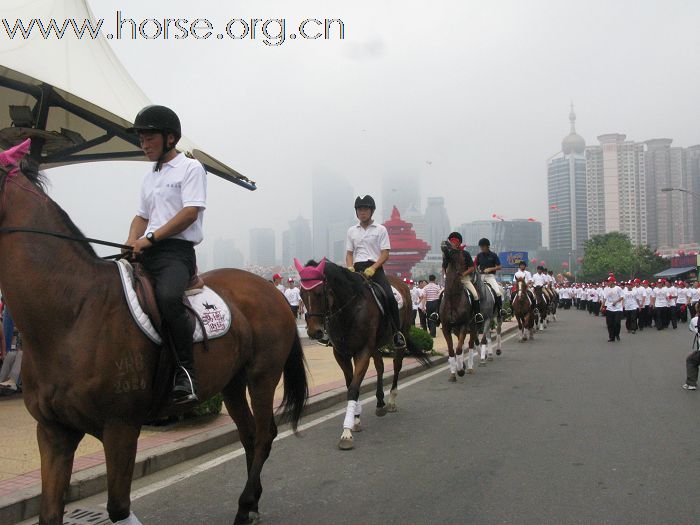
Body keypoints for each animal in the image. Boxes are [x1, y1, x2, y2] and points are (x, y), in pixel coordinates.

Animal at [0, 151, 306, 524]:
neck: (72, 312)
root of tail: (270, 290)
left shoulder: (120, 427)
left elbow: (118, 508)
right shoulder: (53, 431)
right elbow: (50, 513)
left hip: (262, 376)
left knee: (263, 435)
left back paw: (245, 503)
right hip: (232, 382)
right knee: (248, 435)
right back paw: (251, 506)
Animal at [294, 258, 430, 450]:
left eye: (319, 293)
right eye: (301, 293)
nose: (314, 332)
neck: (349, 308)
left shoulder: (363, 351)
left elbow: (353, 389)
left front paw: (346, 432)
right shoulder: (341, 353)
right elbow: (351, 385)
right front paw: (356, 419)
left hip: (399, 336)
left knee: (396, 366)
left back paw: (391, 401)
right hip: (375, 345)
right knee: (380, 366)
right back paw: (380, 402)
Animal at [440, 241, 478, 380]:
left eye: (455, 249)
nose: (444, 243)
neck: (453, 297)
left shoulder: (463, 325)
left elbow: (459, 349)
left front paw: (460, 370)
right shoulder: (446, 327)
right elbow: (452, 351)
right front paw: (453, 373)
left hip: (472, 325)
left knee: (471, 344)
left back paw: (469, 367)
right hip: (455, 328)